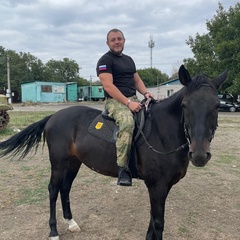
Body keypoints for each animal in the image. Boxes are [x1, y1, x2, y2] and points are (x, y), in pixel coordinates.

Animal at [0, 65, 227, 240]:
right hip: (58, 163)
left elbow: (153, 221)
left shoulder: (163, 187)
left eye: (217, 105)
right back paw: (53, 231)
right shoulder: (157, 185)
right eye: (185, 105)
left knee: (65, 188)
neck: (162, 131)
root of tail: (53, 117)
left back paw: (71, 223)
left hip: (73, 162)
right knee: (53, 190)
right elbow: (158, 222)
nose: (199, 155)